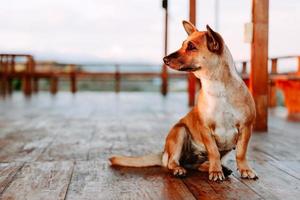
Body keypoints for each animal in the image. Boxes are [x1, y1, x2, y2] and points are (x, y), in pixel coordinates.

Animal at [110, 20, 258, 181]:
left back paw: (219, 168)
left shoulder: (246, 127)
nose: (164, 59)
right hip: (179, 131)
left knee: (200, 164)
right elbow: (213, 151)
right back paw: (180, 169)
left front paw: (245, 169)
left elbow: (241, 153)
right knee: (172, 162)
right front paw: (216, 171)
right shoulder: (205, 129)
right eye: (182, 45)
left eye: (191, 47)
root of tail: (163, 153)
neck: (218, 89)